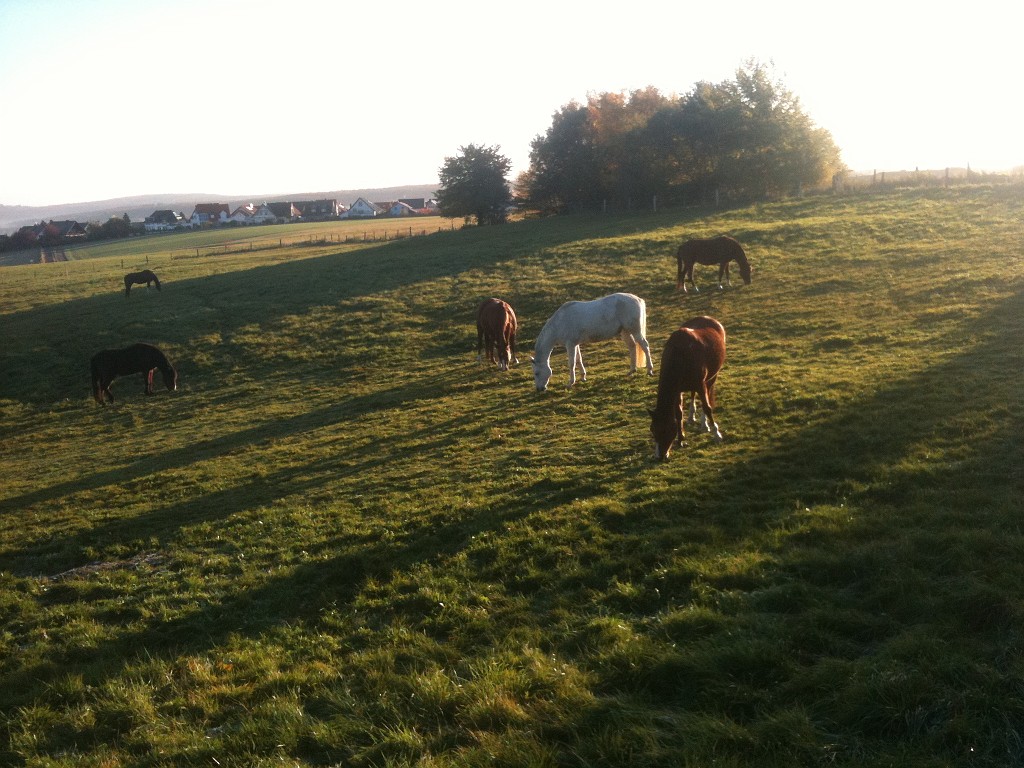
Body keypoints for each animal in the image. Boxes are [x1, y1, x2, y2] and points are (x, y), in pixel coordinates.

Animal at [648, 316, 726, 460]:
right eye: (652, 429)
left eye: (665, 430)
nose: (659, 456)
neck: (680, 354)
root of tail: (710, 319)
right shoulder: (678, 390)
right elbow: (678, 413)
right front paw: (681, 439)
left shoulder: (700, 384)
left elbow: (707, 408)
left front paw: (717, 434)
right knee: (693, 394)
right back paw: (691, 416)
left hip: (711, 378)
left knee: (707, 396)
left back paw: (704, 424)